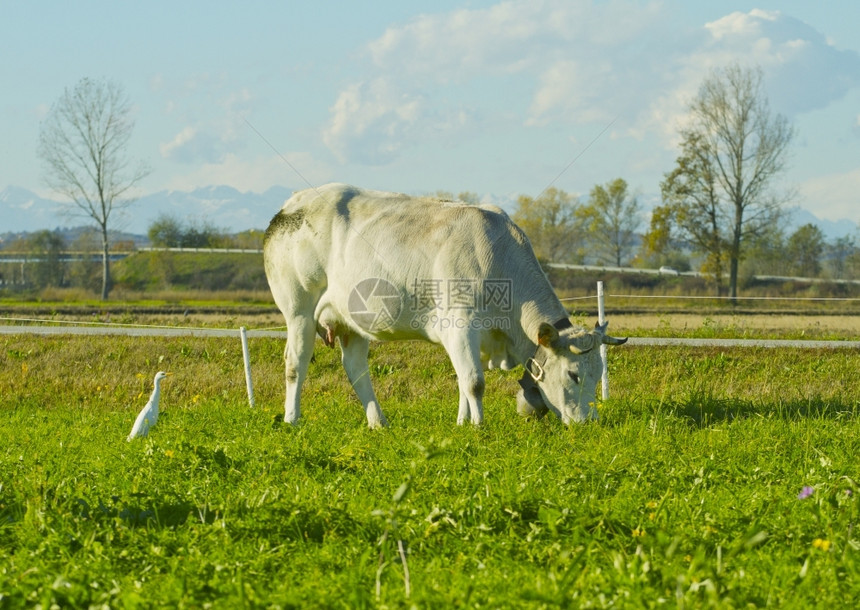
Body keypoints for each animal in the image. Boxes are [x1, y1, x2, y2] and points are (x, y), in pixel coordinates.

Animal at [262, 183, 624, 426]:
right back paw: (292, 418)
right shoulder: (461, 326)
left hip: (351, 321)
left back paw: (378, 422)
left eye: (599, 374)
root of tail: (292, 203)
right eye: (574, 374)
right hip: (298, 309)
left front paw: (462, 423)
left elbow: (463, 379)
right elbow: (474, 381)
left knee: (356, 369)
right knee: (296, 362)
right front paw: (479, 426)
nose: (589, 422)